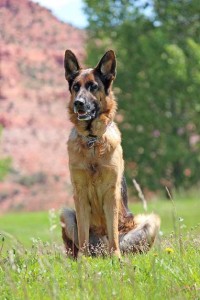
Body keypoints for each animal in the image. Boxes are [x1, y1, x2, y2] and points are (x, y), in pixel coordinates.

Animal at [60, 49, 160, 258]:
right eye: (75, 87)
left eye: (93, 86)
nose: (78, 103)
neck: (92, 141)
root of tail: (101, 251)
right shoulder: (80, 194)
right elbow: (83, 232)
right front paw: (83, 261)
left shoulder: (111, 193)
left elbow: (113, 230)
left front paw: (116, 258)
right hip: (65, 214)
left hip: (151, 221)